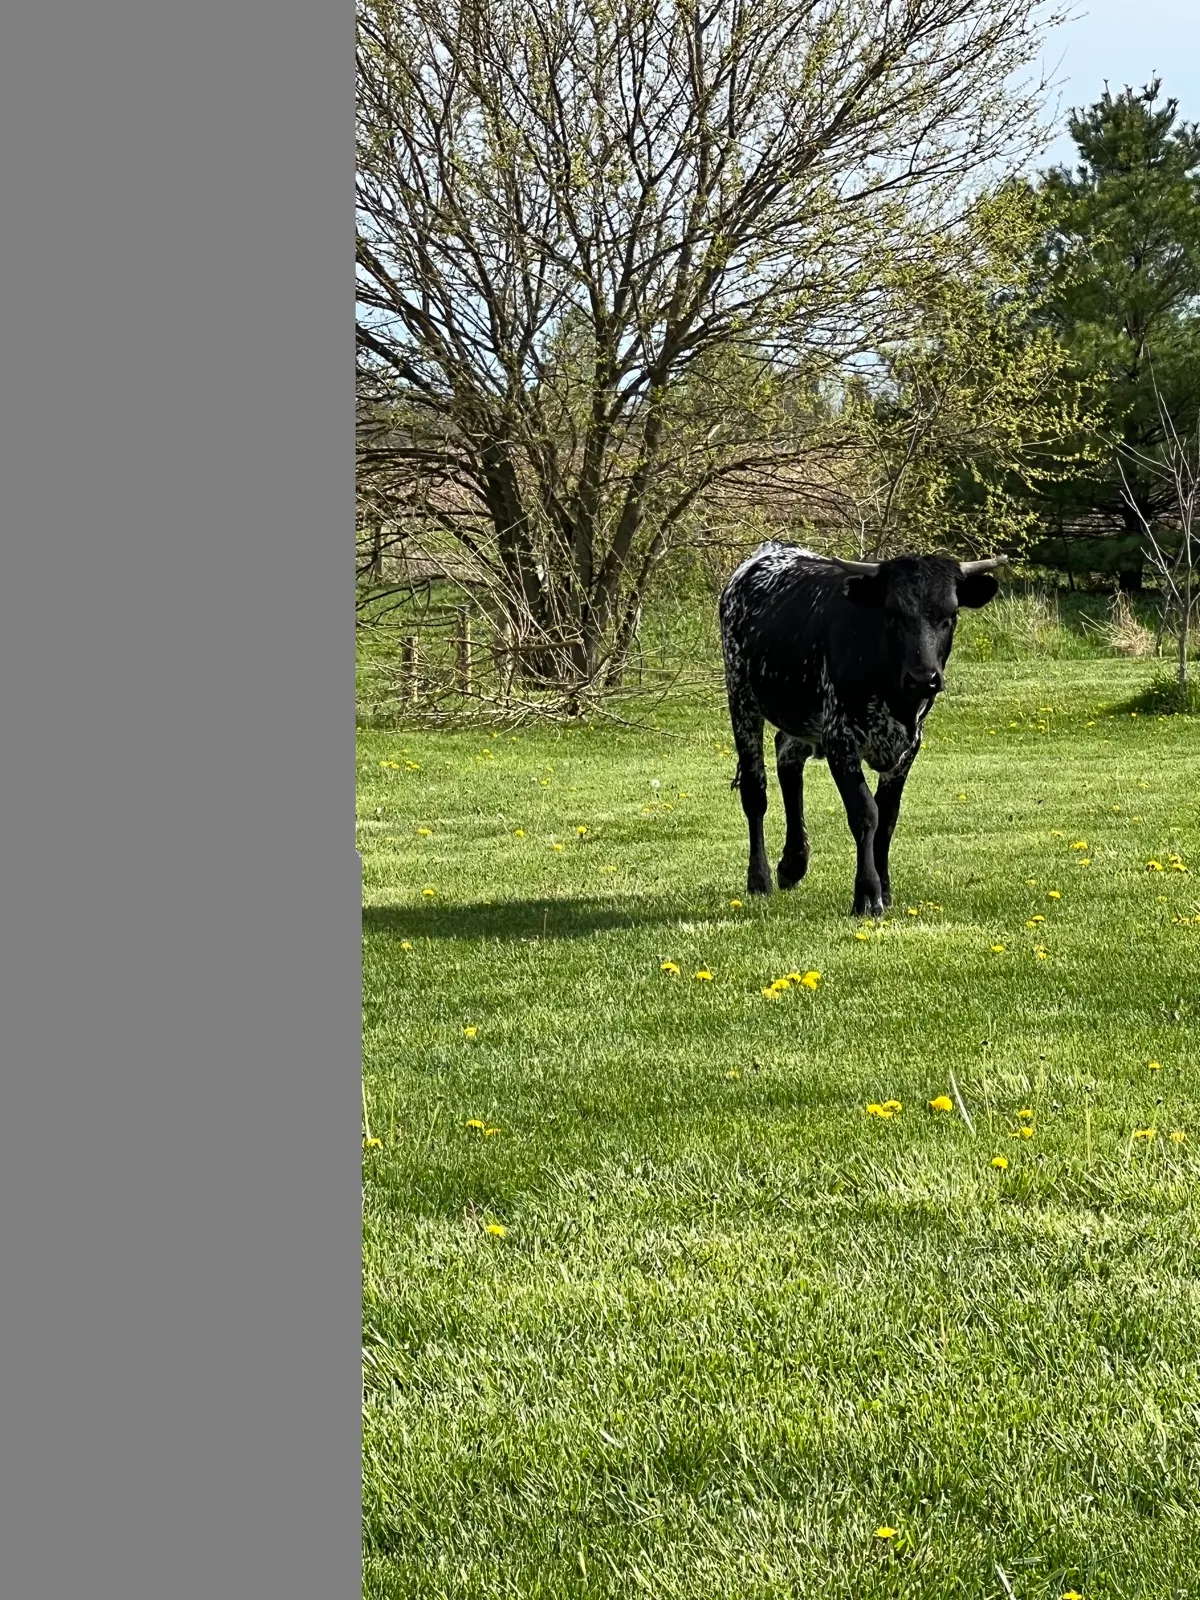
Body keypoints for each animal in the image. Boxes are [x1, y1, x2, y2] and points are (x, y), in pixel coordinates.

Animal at [719, 543, 1005, 915]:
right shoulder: (839, 738)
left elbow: (887, 817)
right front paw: (867, 895)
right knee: (755, 791)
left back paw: (794, 863)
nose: (923, 678)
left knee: (787, 759)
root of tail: (771, 550)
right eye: (893, 614)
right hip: (742, 697)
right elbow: (865, 813)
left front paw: (885, 890)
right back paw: (760, 879)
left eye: (950, 615)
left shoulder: (909, 744)